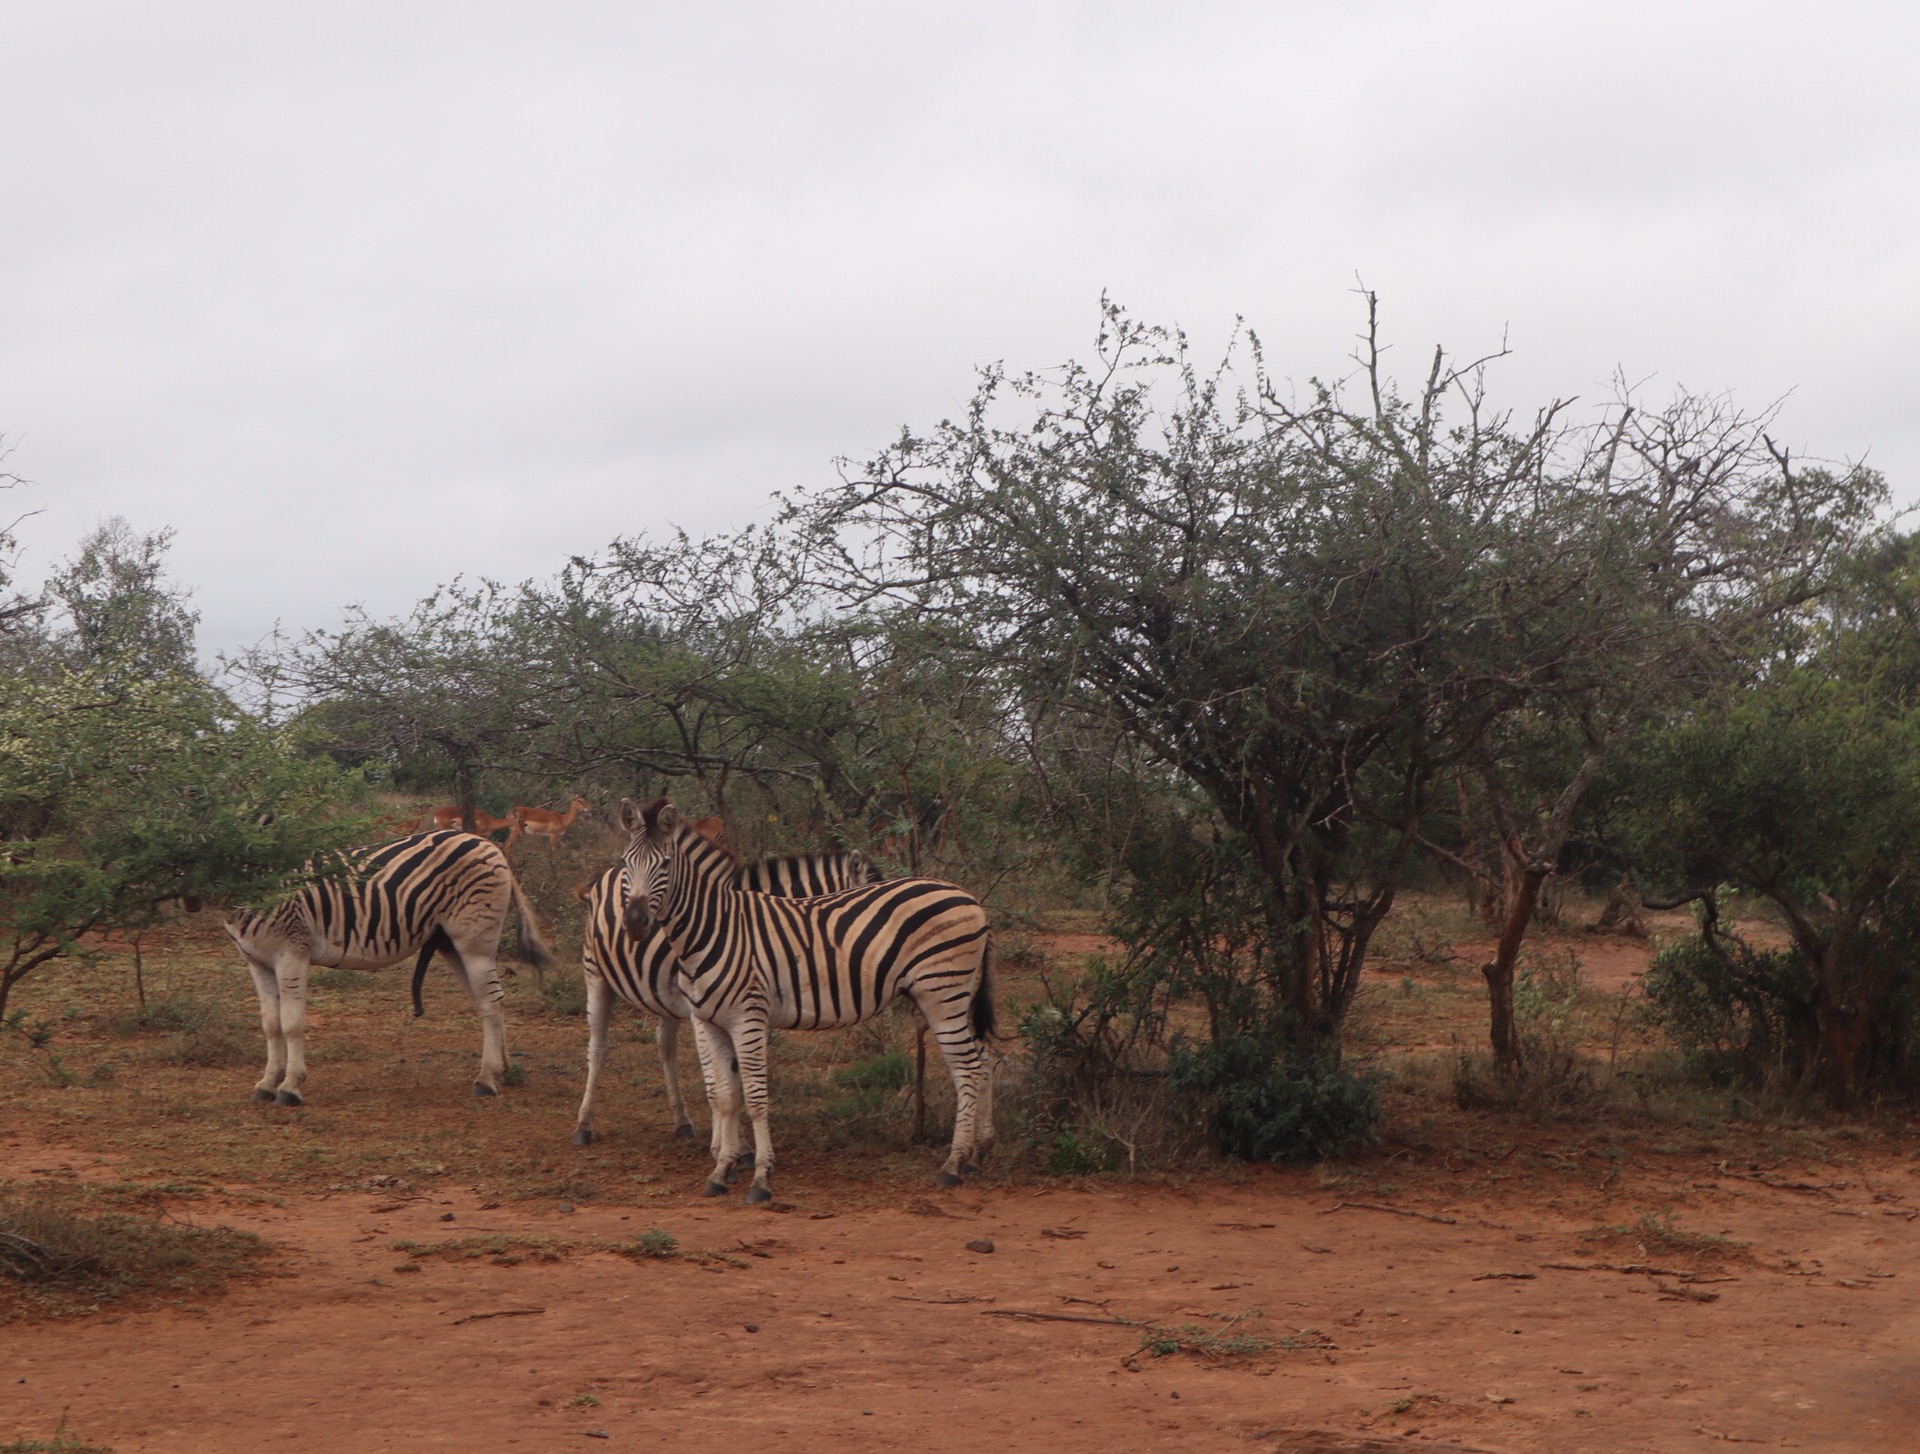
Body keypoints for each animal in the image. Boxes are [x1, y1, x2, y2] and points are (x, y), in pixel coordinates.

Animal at [226, 829, 556, 1098]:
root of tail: (489, 844)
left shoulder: (293, 951)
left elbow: (291, 1023)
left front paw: (291, 1085)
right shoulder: (257, 962)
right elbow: (271, 1024)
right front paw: (268, 1083)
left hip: (475, 941)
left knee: (491, 1002)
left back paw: (487, 1079)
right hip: (452, 944)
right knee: (490, 1001)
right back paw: (502, 1070)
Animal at [560, 841, 879, 1144]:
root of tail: (610, 873)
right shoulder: (706, 1011)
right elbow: (719, 1076)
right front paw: (736, 1145)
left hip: (664, 998)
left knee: (666, 1048)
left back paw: (682, 1122)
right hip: (596, 973)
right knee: (598, 1047)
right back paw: (583, 1126)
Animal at [622, 795, 998, 1206]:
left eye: (665, 864)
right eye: (625, 863)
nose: (635, 923)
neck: (713, 930)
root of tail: (969, 898)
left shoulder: (748, 1018)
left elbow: (755, 1097)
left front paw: (761, 1177)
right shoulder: (709, 1022)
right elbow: (724, 1097)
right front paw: (721, 1171)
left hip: (942, 993)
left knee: (968, 1069)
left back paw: (953, 1165)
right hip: (957, 994)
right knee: (984, 1059)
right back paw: (976, 1156)